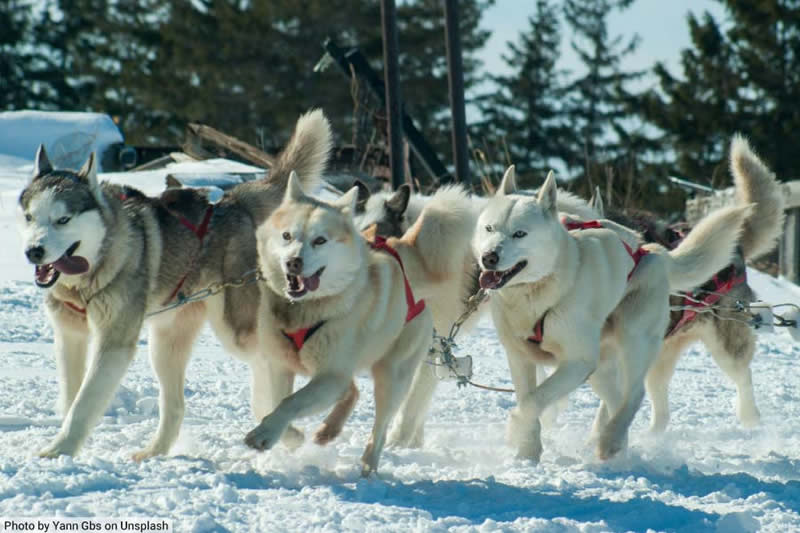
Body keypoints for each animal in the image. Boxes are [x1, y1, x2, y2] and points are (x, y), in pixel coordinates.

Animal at [19, 109, 332, 458]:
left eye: (63, 220)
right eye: (30, 217)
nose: (33, 251)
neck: (89, 274)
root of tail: (235, 200)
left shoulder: (113, 342)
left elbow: (84, 403)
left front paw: (59, 450)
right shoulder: (69, 336)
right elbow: (71, 399)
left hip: (235, 329)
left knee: (267, 362)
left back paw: (285, 429)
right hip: (165, 343)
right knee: (176, 406)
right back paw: (154, 451)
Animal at [244, 172, 476, 472]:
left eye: (320, 240)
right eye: (287, 236)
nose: (293, 262)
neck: (306, 309)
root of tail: (400, 252)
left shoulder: (331, 375)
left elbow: (290, 402)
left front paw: (265, 433)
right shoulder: (280, 365)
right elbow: (276, 401)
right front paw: (288, 434)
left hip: (392, 376)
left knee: (380, 427)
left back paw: (368, 466)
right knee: (351, 390)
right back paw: (329, 429)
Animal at [468, 168, 752, 460]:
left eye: (520, 233)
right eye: (489, 228)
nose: (489, 257)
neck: (538, 293)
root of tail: (651, 252)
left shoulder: (578, 361)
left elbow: (533, 401)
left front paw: (516, 431)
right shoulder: (520, 357)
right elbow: (528, 399)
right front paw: (527, 452)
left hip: (634, 341)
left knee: (635, 393)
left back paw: (611, 441)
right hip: (601, 368)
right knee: (617, 398)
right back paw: (615, 442)